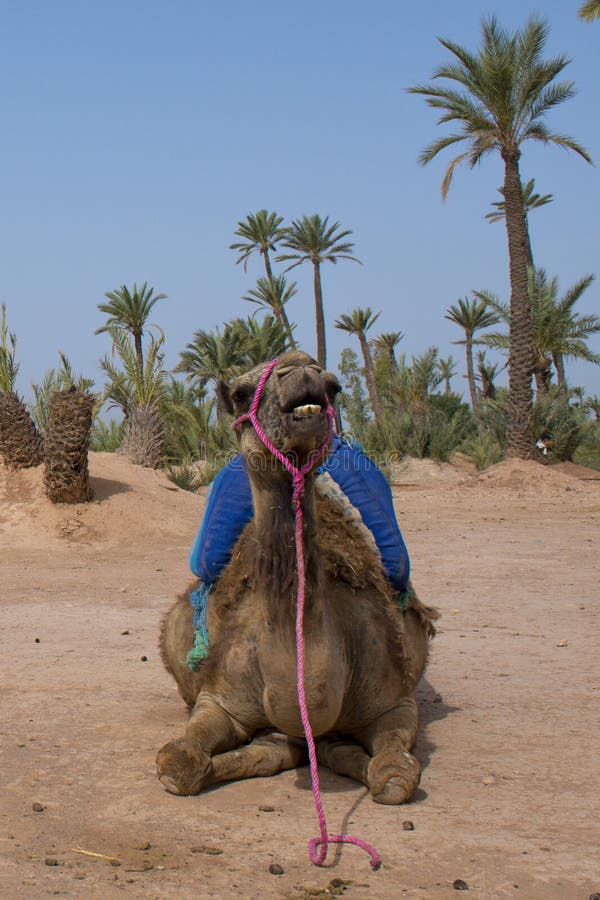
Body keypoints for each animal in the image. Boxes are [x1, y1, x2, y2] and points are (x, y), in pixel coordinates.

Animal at [155, 348, 438, 804]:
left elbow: (394, 776)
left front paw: (361, 761)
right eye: (241, 393)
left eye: (334, 387)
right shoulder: (220, 699)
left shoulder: (395, 700)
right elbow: (179, 765)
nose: (301, 367)